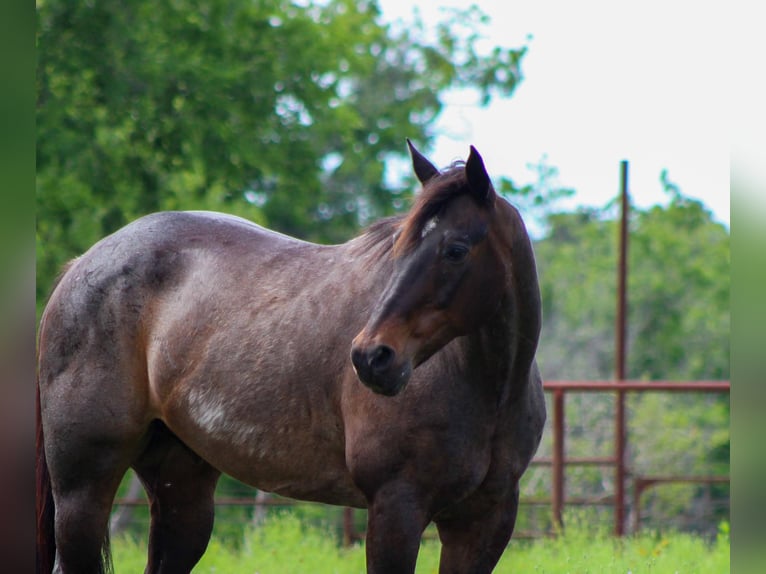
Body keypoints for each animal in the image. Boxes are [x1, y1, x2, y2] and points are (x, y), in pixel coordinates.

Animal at [36, 141, 545, 574]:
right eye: (398, 248)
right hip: (83, 489)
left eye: (456, 250)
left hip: (181, 490)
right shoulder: (396, 509)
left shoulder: (482, 522)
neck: (485, 389)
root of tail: (81, 265)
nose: (371, 357)